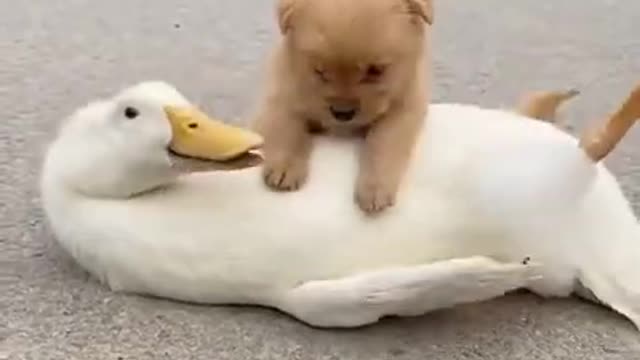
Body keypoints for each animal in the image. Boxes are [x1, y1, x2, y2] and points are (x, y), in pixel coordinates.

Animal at [252, 0, 432, 214]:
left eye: (375, 70)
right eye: (319, 70)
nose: (342, 113)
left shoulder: (403, 108)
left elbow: (383, 144)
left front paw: (375, 187)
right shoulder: (280, 95)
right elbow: (287, 129)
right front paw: (285, 166)